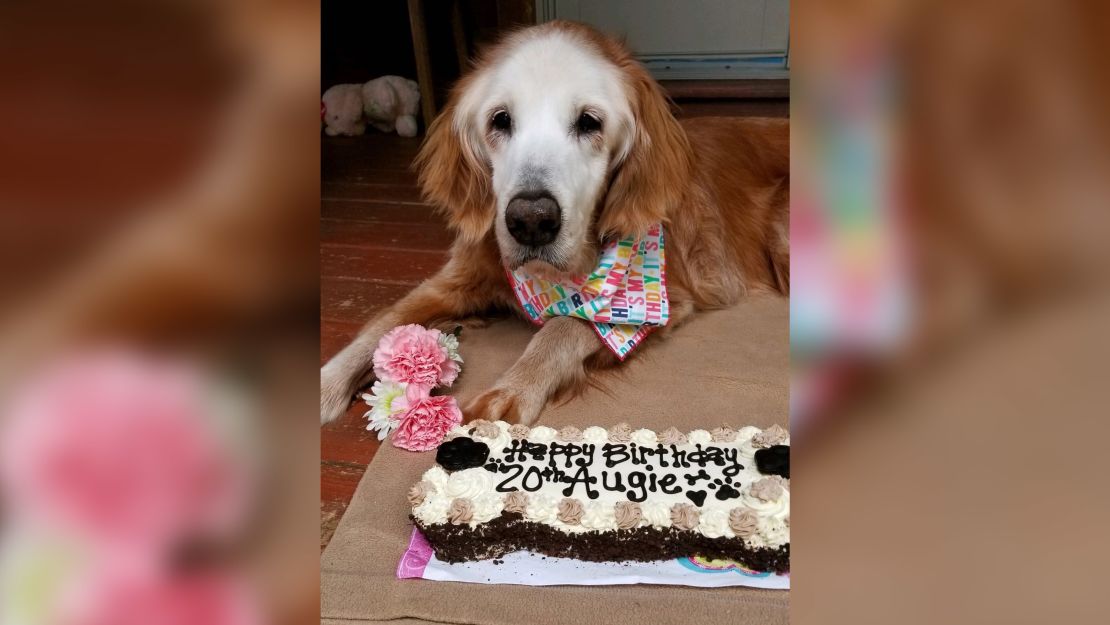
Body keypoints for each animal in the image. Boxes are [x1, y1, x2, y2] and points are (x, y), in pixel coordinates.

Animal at [321, 22, 790, 428]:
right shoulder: (457, 278)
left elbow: (565, 324)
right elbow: (383, 320)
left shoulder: (660, 298)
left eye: (589, 122)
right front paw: (326, 382)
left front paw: (513, 389)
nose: (531, 221)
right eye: (500, 119)